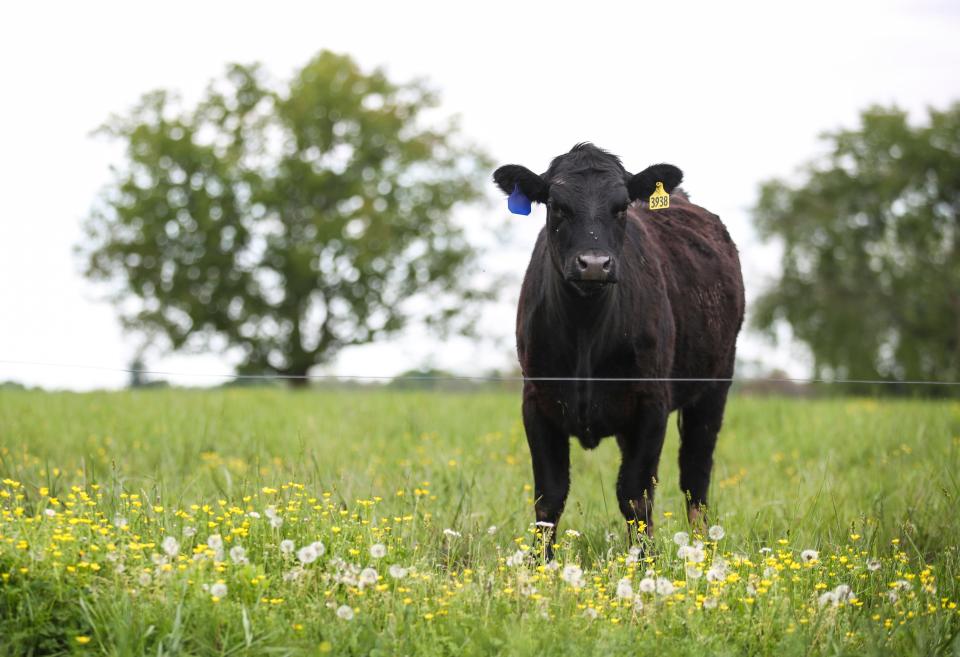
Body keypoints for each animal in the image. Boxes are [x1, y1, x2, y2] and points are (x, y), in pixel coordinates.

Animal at [496, 144, 744, 548]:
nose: (594, 264)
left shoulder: (652, 403)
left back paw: (701, 549)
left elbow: (635, 495)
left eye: (622, 205)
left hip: (715, 386)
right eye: (557, 205)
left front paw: (643, 562)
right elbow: (549, 496)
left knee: (696, 479)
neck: (585, 330)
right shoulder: (536, 401)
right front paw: (539, 563)